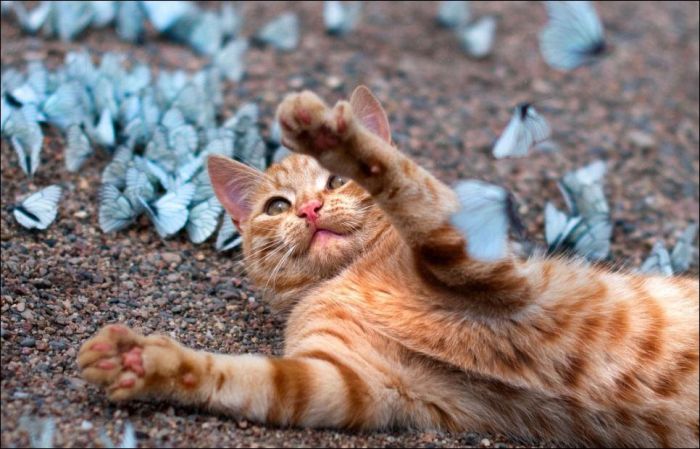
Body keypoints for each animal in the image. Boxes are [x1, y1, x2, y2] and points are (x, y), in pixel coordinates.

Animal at [79, 86, 696, 446]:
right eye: (276, 207)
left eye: (334, 182)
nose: (309, 208)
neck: (351, 275)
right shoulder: (350, 381)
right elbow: (243, 378)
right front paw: (145, 363)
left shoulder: (475, 261)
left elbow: (398, 177)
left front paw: (334, 134)